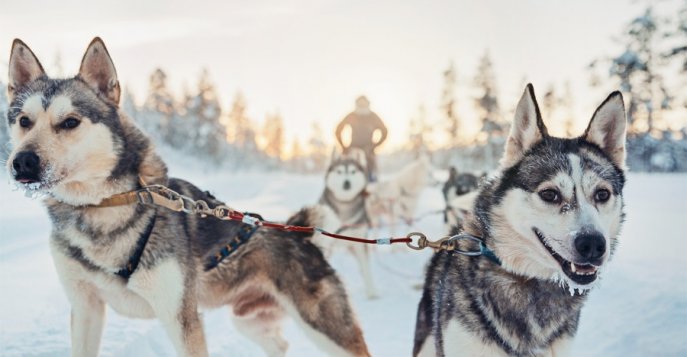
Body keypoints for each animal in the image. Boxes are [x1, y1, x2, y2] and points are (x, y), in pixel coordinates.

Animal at [5, 37, 370, 354]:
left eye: (69, 122)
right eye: (24, 120)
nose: (22, 162)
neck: (102, 207)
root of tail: (299, 232)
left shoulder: (180, 318)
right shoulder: (85, 310)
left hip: (325, 328)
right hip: (249, 322)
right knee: (279, 345)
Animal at [316, 147, 376, 298]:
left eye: (353, 171)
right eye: (339, 171)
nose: (347, 183)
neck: (344, 206)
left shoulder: (360, 242)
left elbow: (366, 268)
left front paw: (372, 291)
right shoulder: (327, 244)